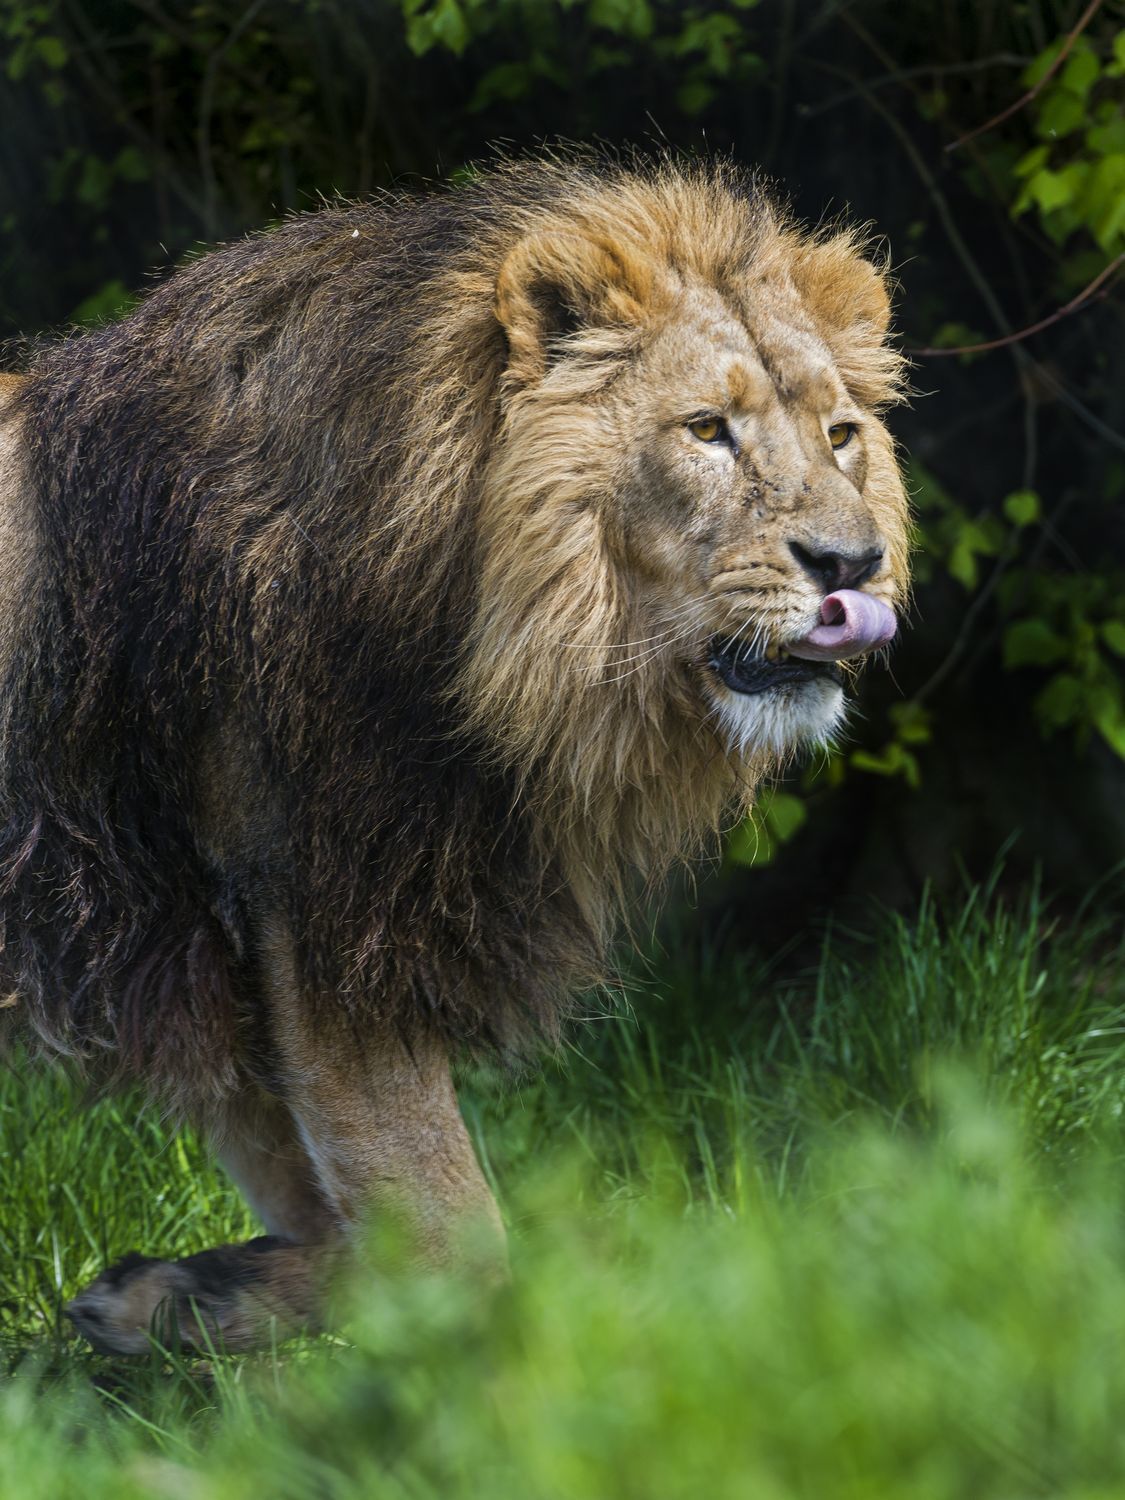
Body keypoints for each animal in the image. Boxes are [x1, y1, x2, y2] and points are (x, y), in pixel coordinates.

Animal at [0, 158, 906, 1356]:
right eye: (707, 429)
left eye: (841, 434)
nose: (854, 563)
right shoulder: (320, 914)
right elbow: (455, 1241)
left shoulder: (232, 952)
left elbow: (329, 1193)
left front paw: (182, 1296)